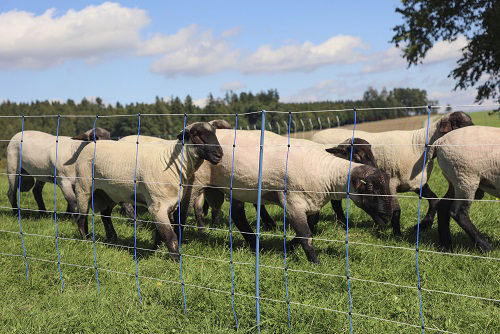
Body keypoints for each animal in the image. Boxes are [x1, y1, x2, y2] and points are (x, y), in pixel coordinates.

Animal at [74, 121, 223, 260]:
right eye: (196, 134)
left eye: (215, 133)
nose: (219, 154)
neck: (173, 165)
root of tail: (91, 144)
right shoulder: (157, 206)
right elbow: (170, 236)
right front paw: (176, 261)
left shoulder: (168, 205)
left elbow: (160, 234)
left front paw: (154, 251)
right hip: (83, 188)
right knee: (81, 218)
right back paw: (87, 240)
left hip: (109, 192)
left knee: (105, 214)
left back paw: (112, 238)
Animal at [188, 130, 394, 264]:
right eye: (371, 188)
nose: (388, 217)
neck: (328, 172)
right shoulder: (292, 202)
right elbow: (306, 234)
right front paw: (314, 263)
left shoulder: (311, 202)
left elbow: (310, 227)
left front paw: (289, 245)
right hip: (193, 184)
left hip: (235, 188)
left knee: (237, 215)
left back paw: (255, 245)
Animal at [312, 111, 472, 234]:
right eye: (459, 125)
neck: (419, 145)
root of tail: (316, 135)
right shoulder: (392, 183)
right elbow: (396, 210)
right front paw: (397, 235)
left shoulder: (416, 183)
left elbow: (434, 200)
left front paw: (423, 226)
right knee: (335, 203)